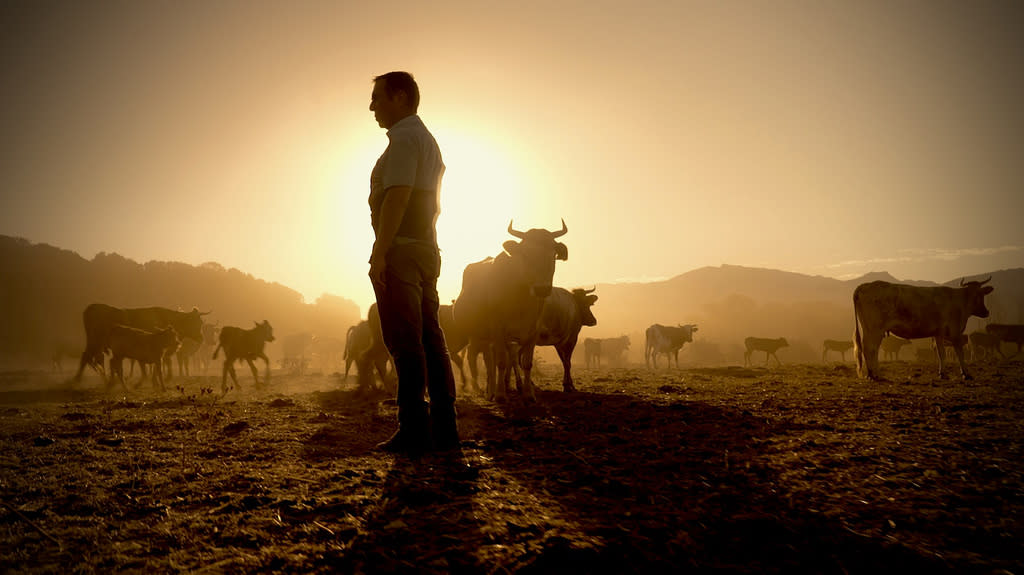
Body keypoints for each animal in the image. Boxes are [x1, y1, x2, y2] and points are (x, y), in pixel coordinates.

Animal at [74, 302, 209, 382]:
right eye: (195, 322)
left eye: (201, 322)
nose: (202, 338)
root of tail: (92, 308)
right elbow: (162, 363)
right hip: (94, 341)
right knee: (86, 357)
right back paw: (78, 380)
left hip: (94, 343)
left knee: (88, 357)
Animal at [452, 216, 569, 401]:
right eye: (525, 254)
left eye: (553, 254)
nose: (542, 289)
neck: (522, 299)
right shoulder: (498, 328)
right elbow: (501, 362)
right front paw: (501, 395)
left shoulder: (533, 330)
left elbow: (526, 363)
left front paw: (529, 394)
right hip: (479, 335)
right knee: (486, 361)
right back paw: (490, 391)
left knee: (490, 360)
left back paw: (492, 390)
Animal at [851, 276, 995, 378]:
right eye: (980, 295)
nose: (986, 312)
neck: (960, 302)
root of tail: (863, 286)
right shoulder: (955, 331)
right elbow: (960, 353)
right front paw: (965, 373)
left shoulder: (938, 333)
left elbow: (941, 354)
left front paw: (942, 373)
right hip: (875, 328)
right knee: (870, 348)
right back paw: (874, 374)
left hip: (870, 329)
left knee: (871, 349)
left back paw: (874, 373)